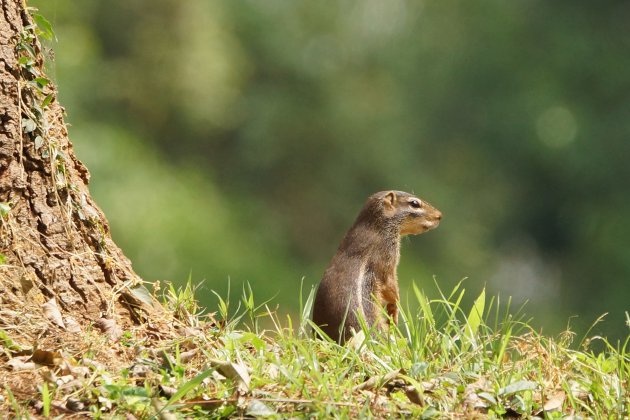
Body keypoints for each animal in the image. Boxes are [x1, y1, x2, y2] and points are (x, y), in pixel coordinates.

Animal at [314, 192, 442, 342]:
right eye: (414, 203)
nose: (440, 215)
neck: (376, 229)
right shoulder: (386, 259)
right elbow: (391, 287)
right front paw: (394, 312)